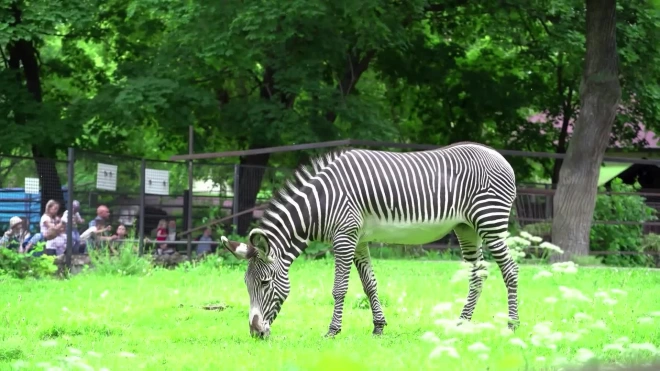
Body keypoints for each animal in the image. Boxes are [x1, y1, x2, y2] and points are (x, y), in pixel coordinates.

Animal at [222, 142, 520, 340]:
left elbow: (339, 288)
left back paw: (512, 325)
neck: (322, 202)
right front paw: (378, 326)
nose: (255, 333)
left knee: (510, 270)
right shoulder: (358, 240)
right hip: (466, 227)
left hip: (490, 222)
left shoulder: (343, 237)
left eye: (264, 283)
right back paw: (461, 324)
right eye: (246, 284)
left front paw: (332, 331)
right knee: (478, 273)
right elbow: (369, 285)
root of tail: (499, 156)